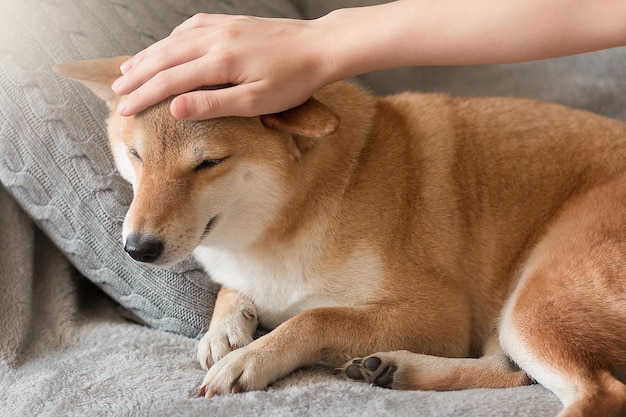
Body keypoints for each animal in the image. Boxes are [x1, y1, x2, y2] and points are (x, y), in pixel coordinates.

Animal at [54, 56, 624, 416]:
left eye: (209, 163)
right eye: (135, 155)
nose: (137, 248)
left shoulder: (438, 315)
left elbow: (316, 316)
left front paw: (252, 358)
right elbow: (235, 292)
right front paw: (225, 330)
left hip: (529, 306)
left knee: (597, 393)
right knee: (514, 371)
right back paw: (394, 368)